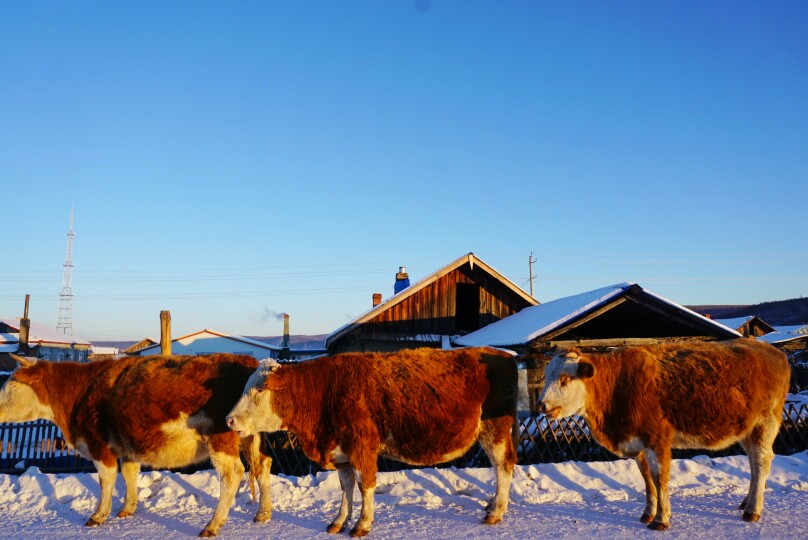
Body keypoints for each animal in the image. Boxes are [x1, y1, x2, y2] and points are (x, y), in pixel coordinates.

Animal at [0, 354, 274, 536]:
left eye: (10, 384)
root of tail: (246, 361)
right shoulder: (127, 445)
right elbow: (129, 473)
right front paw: (127, 508)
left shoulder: (99, 445)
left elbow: (107, 479)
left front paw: (98, 515)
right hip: (248, 435)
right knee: (262, 465)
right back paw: (263, 513)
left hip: (221, 438)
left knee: (233, 473)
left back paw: (212, 525)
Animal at [227, 348, 516, 536]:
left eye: (260, 389)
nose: (229, 420)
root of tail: (500, 354)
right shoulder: (341, 453)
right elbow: (346, 487)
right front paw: (339, 521)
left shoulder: (362, 447)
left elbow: (365, 485)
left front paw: (362, 524)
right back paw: (491, 505)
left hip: (496, 429)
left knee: (503, 466)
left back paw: (496, 512)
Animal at [536, 340, 788, 528]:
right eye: (547, 376)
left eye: (566, 378)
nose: (541, 405)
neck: (618, 385)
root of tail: (771, 350)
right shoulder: (638, 444)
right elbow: (647, 479)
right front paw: (648, 513)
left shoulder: (657, 440)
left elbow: (659, 478)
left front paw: (661, 519)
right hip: (748, 430)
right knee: (753, 463)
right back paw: (746, 502)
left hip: (765, 423)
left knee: (762, 461)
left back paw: (753, 510)